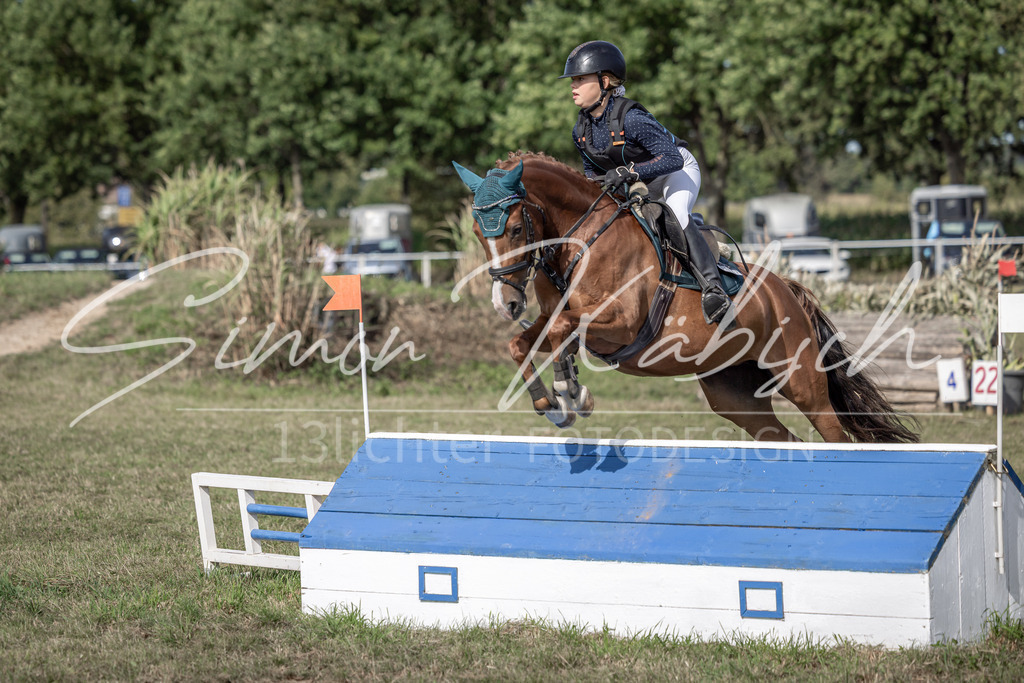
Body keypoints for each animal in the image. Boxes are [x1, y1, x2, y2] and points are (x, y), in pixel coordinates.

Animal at [453, 151, 918, 443]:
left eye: (516, 229)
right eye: (477, 232)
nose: (505, 303)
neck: (579, 239)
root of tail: (786, 290)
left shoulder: (620, 324)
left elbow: (563, 330)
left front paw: (571, 392)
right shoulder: (553, 317)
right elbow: (524, 342)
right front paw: (553, 403)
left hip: (800, 379)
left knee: (832, 430)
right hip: (734, 395)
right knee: (783, 438)